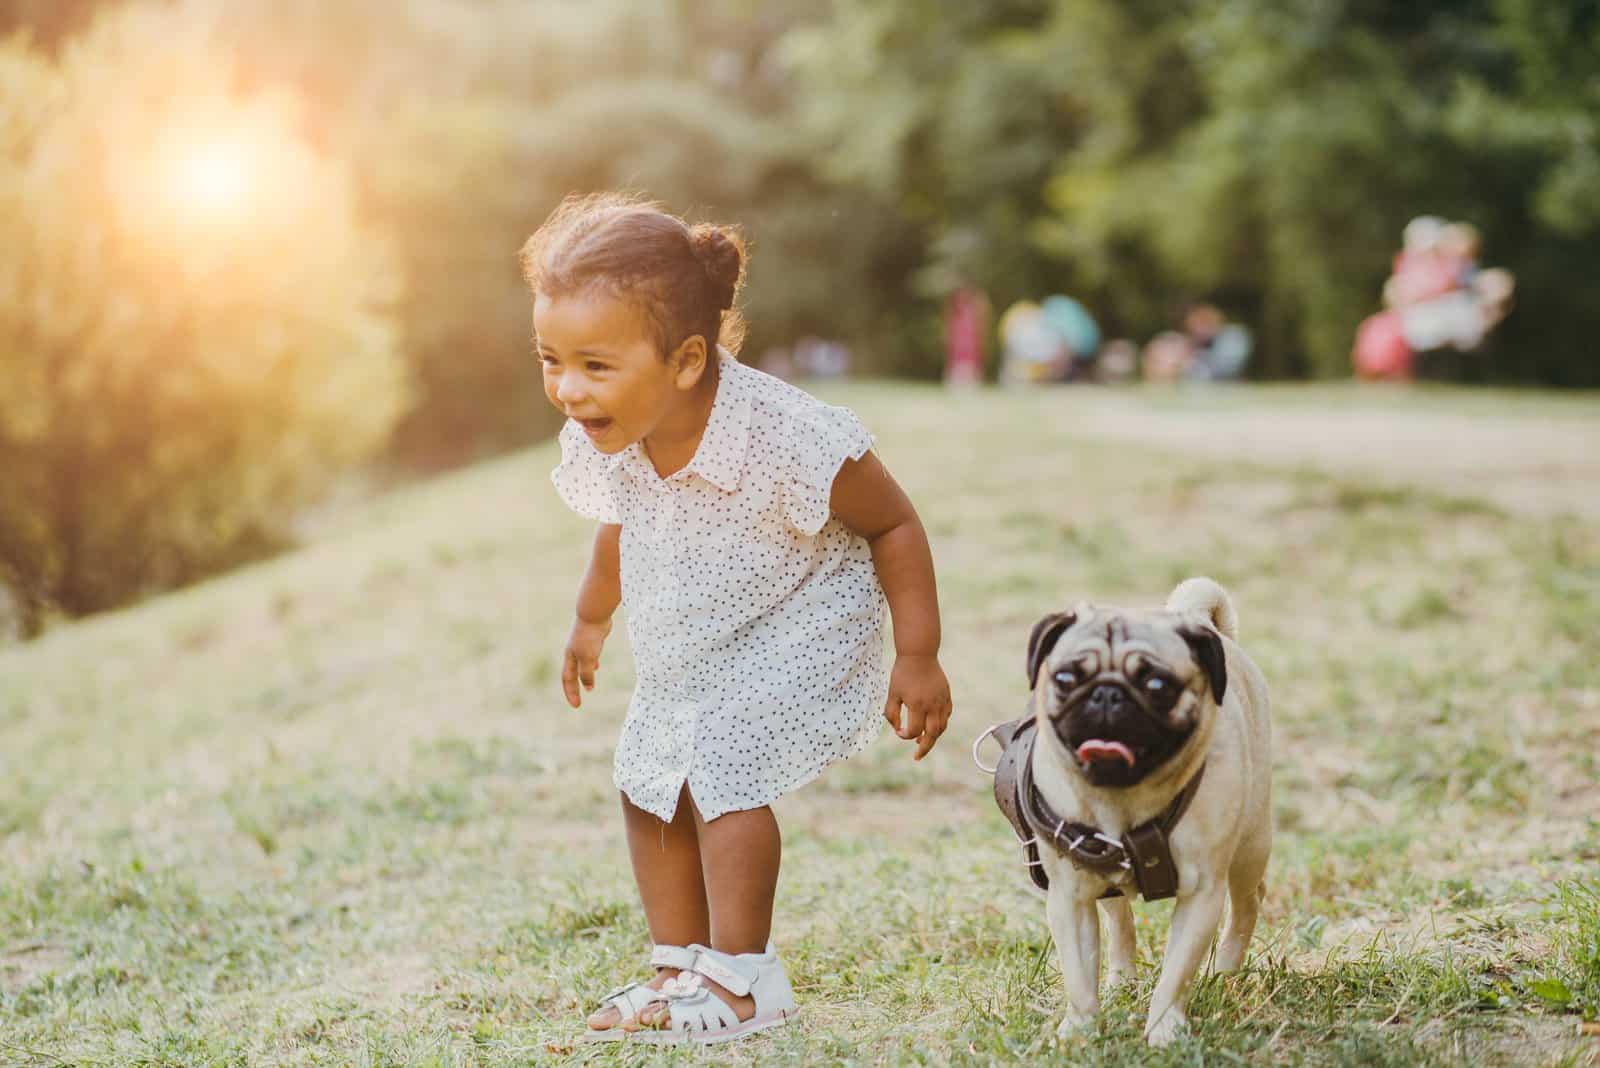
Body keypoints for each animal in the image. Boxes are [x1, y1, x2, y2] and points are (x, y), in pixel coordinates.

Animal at [1024, 575, 1273, 1042]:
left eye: (1157, 686)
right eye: (1065, 678)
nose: (1107, 694)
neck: (1124, 799)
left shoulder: (1201, 895)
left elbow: (1176, 974)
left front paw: (1163, 1029)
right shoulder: (1069, 898)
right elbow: (1078, 975)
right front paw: (1080, 1031)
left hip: (1250, 850)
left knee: (1247, 905)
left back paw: (1227, 972)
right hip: (1102, 886)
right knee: (1120, 921)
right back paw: (1122, 980)